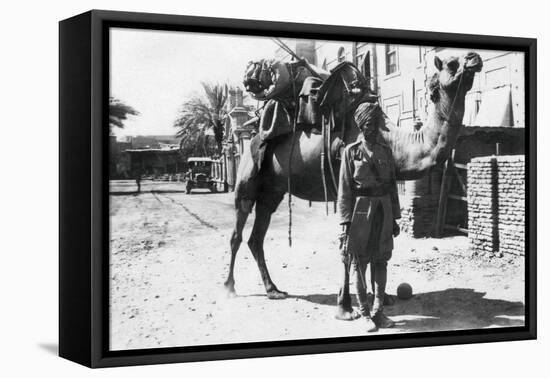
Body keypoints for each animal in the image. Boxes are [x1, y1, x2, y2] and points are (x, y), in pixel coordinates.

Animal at [224, 53, 484, 302]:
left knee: (256, 237)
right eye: (451, 64)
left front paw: (382, 297)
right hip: (247, 178)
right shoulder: (347, 188)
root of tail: (253, 134)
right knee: (237, 232)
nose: (474, 58)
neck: (393, 141)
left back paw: (273, 289)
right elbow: (353, 246)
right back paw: (230, 287)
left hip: (272, 191)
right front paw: (354, 300)